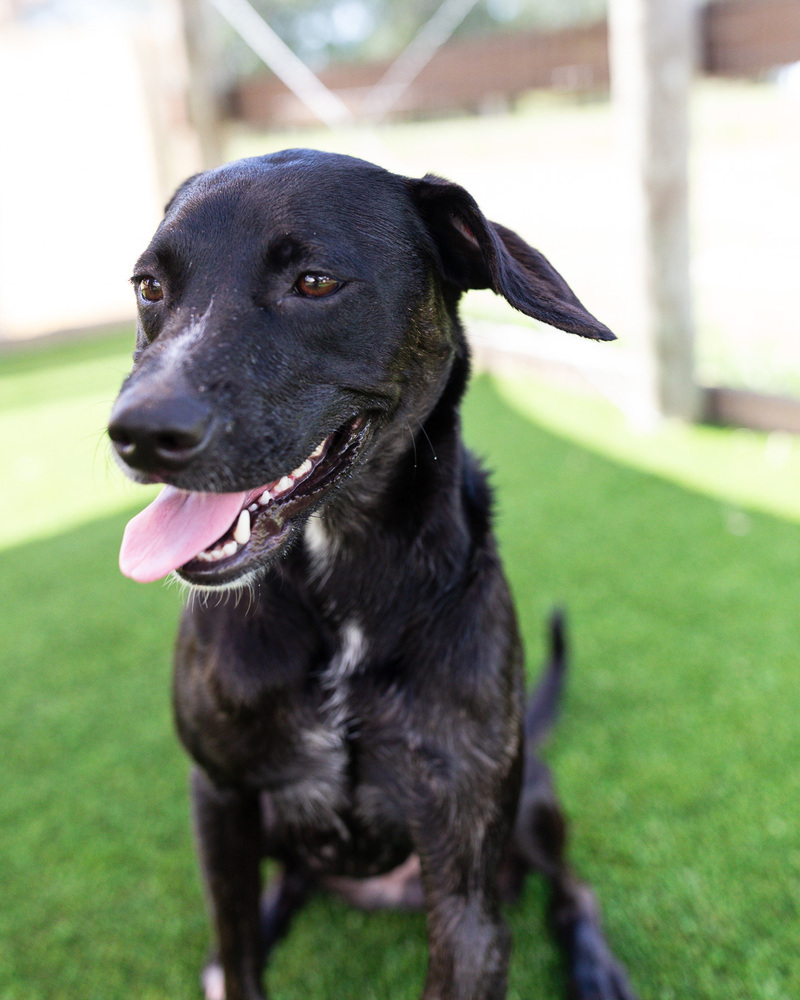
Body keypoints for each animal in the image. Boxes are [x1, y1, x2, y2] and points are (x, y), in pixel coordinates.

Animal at [108, 148, 636, 1000]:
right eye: (150, 287)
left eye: (315, 281)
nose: (139, 434)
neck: (340, 579)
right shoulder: (218, 796)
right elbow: (236, 944)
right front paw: (238, 954)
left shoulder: (467, 880)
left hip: (532, 798)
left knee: (572, 888)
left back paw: (595, 966)